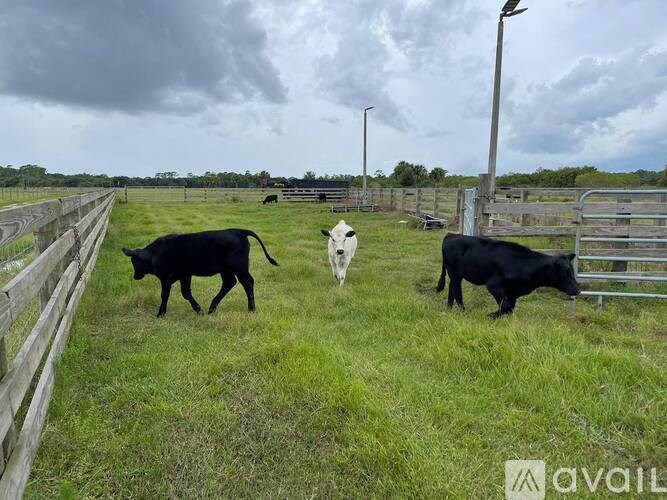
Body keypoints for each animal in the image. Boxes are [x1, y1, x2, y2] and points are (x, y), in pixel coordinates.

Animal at [122, 229, 279, 317]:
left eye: (134, 262)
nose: (135, 276)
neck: (155, 254)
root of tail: (238, 231)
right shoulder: (185, 275)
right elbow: (186, 293)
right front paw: (199, 310)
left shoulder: (167, 278)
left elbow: (165, 295)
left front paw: (161, 313)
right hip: (226, 269)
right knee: (229, 283)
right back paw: (212, 308)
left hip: (239, 267)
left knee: (247, 282)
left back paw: (251, 309)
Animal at [436, 233, 580, 318]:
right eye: (565, 272)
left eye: (572, 271)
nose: (578, 290)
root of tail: (451, 235)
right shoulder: (493, 286)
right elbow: (506, 306)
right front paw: (491, 315)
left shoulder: (513, 292)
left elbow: (510, 308)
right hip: (454, 273)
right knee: (457, 292)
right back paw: (463, 311)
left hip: (455, 275)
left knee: (451, 289)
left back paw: (449, 309)